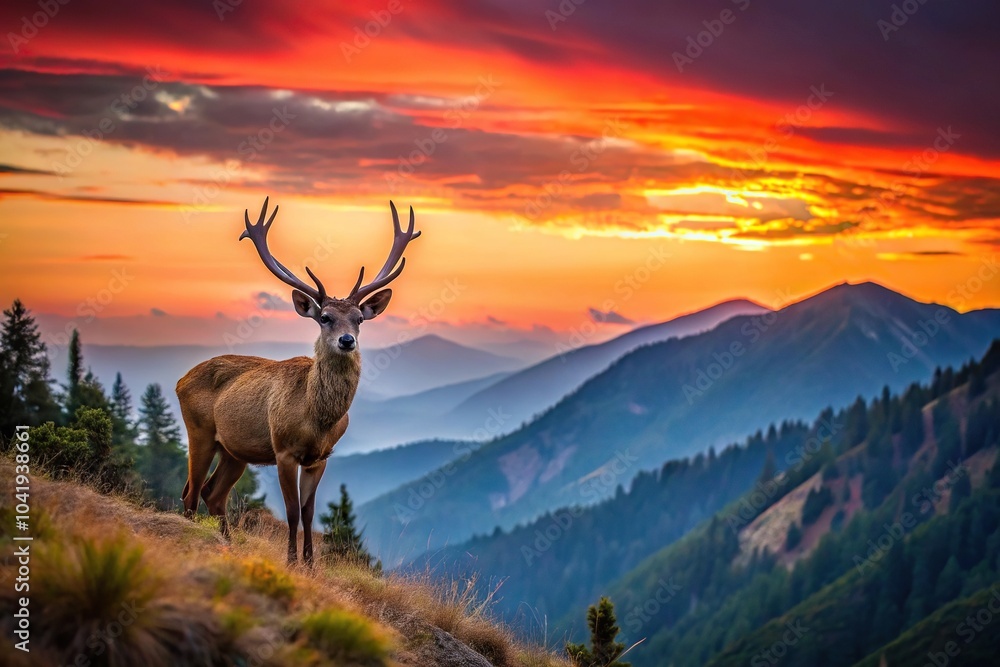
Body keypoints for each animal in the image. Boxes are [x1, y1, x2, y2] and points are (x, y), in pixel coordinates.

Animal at [176, 197, 420, 565]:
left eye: (359, 318)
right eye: (325, 317)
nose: (347, 340)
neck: (316, 419)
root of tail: (180, 380)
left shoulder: (320, 457)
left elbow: (308, 512)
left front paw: (310, 563)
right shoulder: (283, 450)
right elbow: (291, 512)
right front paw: (291, 560)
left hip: (235, 450)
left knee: (212, 493)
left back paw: (227, 543)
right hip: (200, 431)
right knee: (190, 493)